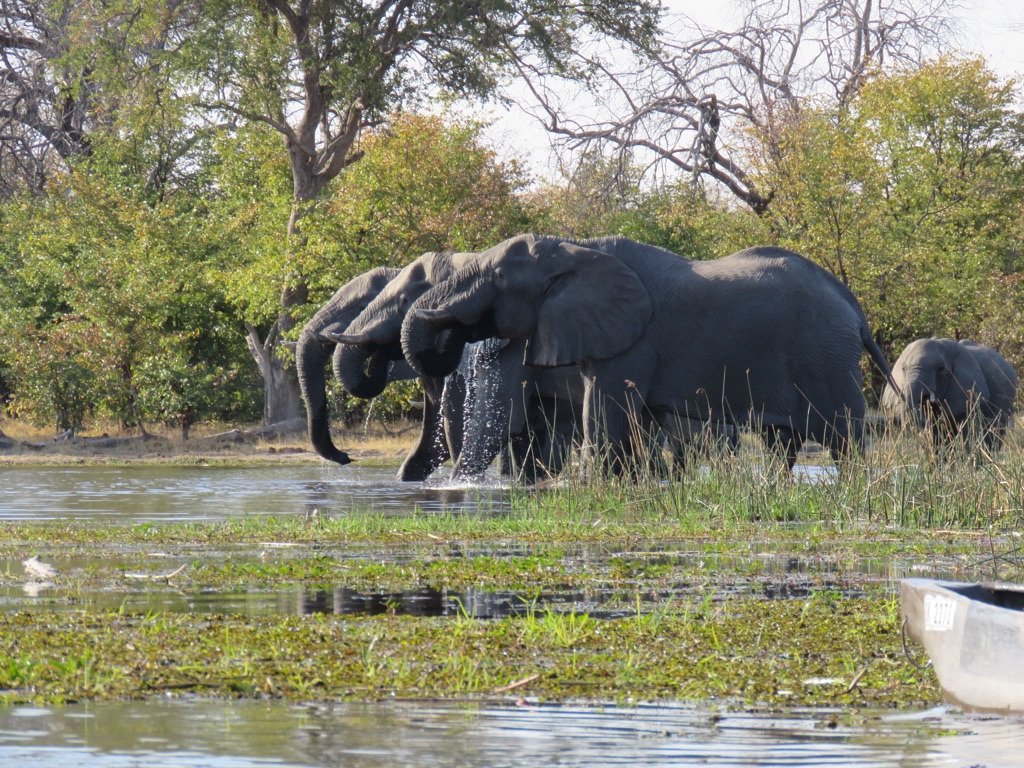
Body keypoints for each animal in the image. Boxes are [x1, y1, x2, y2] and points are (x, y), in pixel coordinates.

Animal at [401, 234, 896, 472]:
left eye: (499, 279)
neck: (575, 247)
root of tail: (850, 301)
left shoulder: (633, 342)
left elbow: (605, 423)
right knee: (781, 442)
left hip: (824, 355)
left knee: (844, 438)